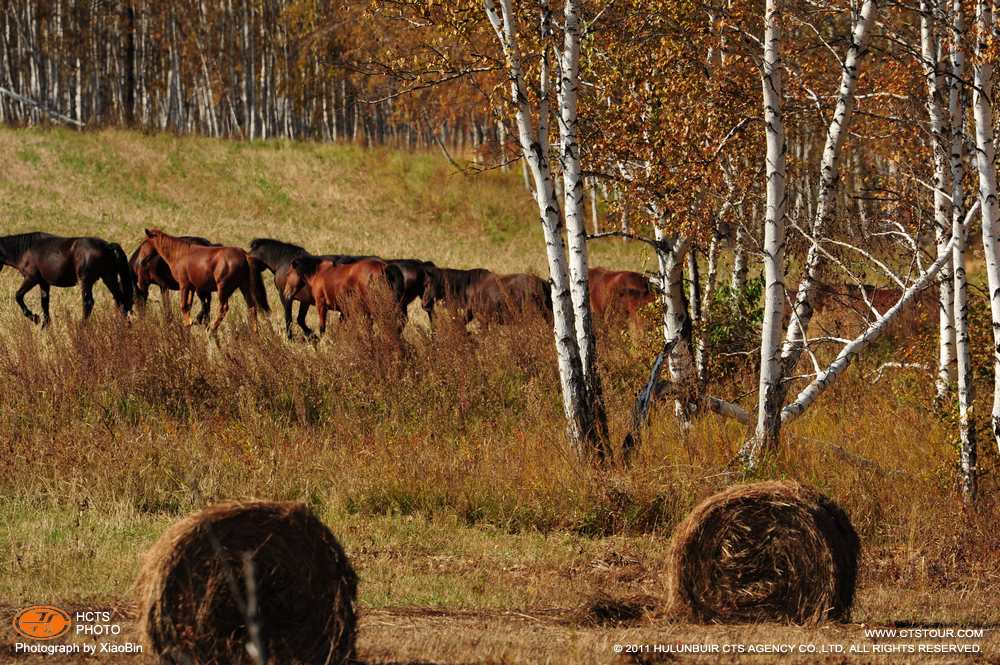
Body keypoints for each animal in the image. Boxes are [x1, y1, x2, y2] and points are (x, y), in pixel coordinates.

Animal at [0, 232, 133, 326]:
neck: (26, 250)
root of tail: (108, 246)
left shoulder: (31, 278)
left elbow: (18, 296)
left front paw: (35, 318)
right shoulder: (44, 283)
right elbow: (44, 303)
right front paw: (45, 326)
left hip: (86, 281)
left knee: (88, 303)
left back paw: (82, 326)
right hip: (109, 278)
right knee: (121, 301)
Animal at [247, 239, 434, 338]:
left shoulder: (289, 298)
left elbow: (291, 318)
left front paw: (294, 337)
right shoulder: (306, 301)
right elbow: (301, 319)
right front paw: (312, 336)